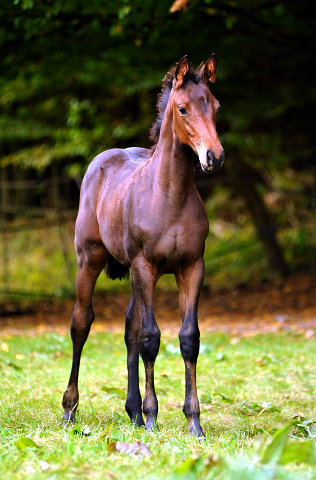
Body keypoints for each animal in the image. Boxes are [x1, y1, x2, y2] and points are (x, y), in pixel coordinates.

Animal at [62, 54, 225, 436]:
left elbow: (188, 338)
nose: (214, 157)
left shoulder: (192, 266)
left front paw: (194, 422)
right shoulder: (144, 266)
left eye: (216, 107)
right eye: (182, 108)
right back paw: (70, 408)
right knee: (81, 323)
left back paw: (133, 411)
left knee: (129, 329)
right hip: (90, 259)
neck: (169, 196)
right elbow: (151, 337)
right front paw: (153, 417)